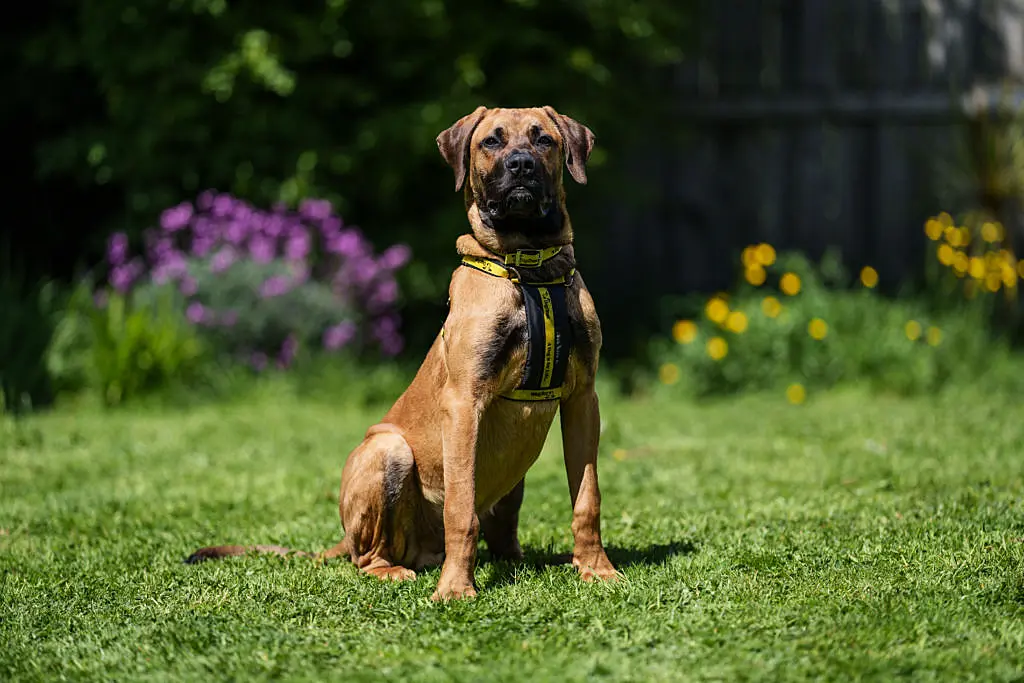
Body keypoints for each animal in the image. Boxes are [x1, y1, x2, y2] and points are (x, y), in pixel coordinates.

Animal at [188, 104, 618, 602]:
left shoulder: (583, 398)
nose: (522, 165)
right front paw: (455, 589)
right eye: (491, 141)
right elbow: (460, 510)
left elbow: (587, 498)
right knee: (368, 557)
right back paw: (395, 570)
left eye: (543, 139)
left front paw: (596, 568)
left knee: (501, 532)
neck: (530, 268)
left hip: (511, 484)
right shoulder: (464, 403)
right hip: (387, 451)